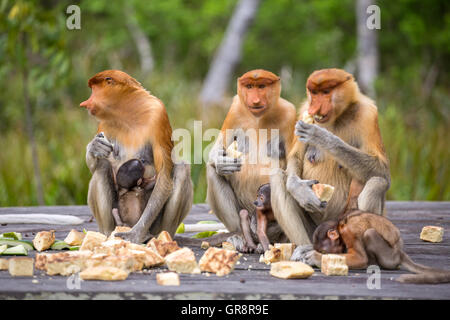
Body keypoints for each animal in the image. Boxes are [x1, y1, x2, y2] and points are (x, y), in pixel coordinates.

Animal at [80, 69, 192, 240]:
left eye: (94, 89)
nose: (85, 103)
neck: (127, 111)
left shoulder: (157, 113)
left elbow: (164, 174)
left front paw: (135, 235)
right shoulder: (103, 124)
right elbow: (97, 166)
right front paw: (95, 146)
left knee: (182, 168)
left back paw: (159, 235)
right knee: (102, 168)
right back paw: (108, 234)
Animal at [205, 70, 296, 252]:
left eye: (261, 86)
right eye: (249, 86)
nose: (255, 101)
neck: (259, 117)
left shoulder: (290, 114)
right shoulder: (234, 110)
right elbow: (217, 150)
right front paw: (222, 163)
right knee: (212, 172)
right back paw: (239, 237)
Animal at [268, 68, 392, 258]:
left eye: (326, 92)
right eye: (314, 93)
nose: (314, 108)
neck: (338, 116)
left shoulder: (368, 114)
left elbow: (382, 170)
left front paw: (320, 136)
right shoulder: (303, 111)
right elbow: (296, 158)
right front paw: (300, 189)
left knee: (377, 182)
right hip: (314, 229)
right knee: (277, 178)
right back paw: (305, 247)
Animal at [306, 211, 450, 284]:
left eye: (323, 251)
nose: (322, 253)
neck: (340, 226)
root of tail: (399, 253)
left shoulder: (349, 232)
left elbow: (360, 258)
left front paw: (315, 257)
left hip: (389, 257)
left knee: (369, 234)